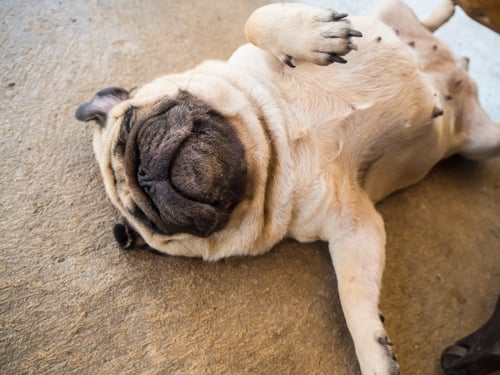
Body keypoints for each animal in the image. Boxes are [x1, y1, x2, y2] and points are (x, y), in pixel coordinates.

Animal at [75, 1, 500, 374]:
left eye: (129, 127)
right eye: (149, 219)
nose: (145, 174)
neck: (274, 148)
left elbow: (256, 20)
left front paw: (318, 34)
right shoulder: (353, 226)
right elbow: (353, 298)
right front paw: (377, 355)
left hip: (390, 14)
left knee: (416, 21)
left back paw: (445, 15)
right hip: (484, 143)